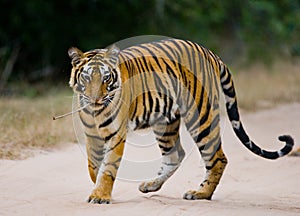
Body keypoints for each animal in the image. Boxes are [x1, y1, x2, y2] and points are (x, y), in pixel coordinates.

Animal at [67, 37, 292, 204]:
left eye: (106, 78)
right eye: (87, 78)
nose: (95, 99)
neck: (95, 111)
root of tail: (210, 53)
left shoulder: (116, 135)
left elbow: (108, 167)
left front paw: (100, 195)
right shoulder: (92, 135)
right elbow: (94, 166)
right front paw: (98, 187)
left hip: (200, 116)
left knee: (217, 157)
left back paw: (200, 194)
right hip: (164, 122)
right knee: (175, 154)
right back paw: (151, 185)